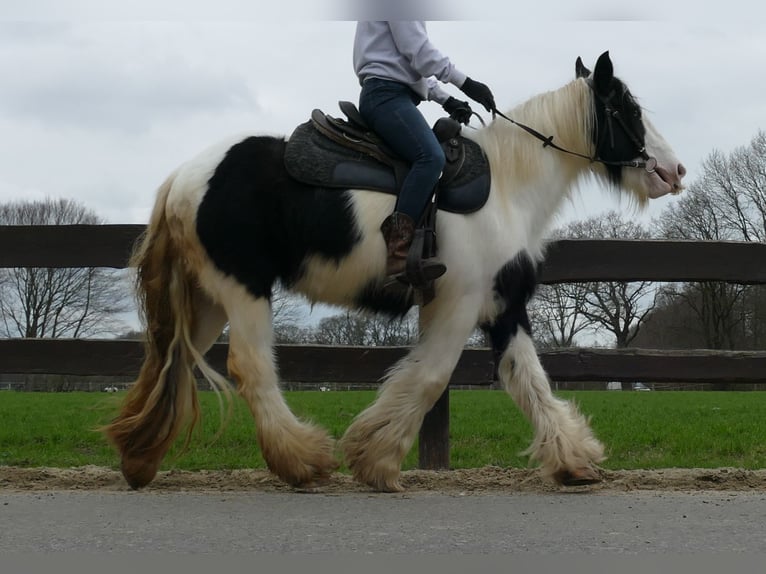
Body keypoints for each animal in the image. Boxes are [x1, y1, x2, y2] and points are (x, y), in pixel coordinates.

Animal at [105, 51, 688, 496]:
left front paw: (574, 461)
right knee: (250, 368)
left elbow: (528, 380)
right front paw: (376, 459)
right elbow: (431, 377)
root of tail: (183, 178)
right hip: (242, 289)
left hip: (206, 298)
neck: (506, 188)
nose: (674, 170)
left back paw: (139, 458)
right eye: (626, 108)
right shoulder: (457, 303)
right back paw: (303, 460)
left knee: (172, 361)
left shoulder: (502, 306)